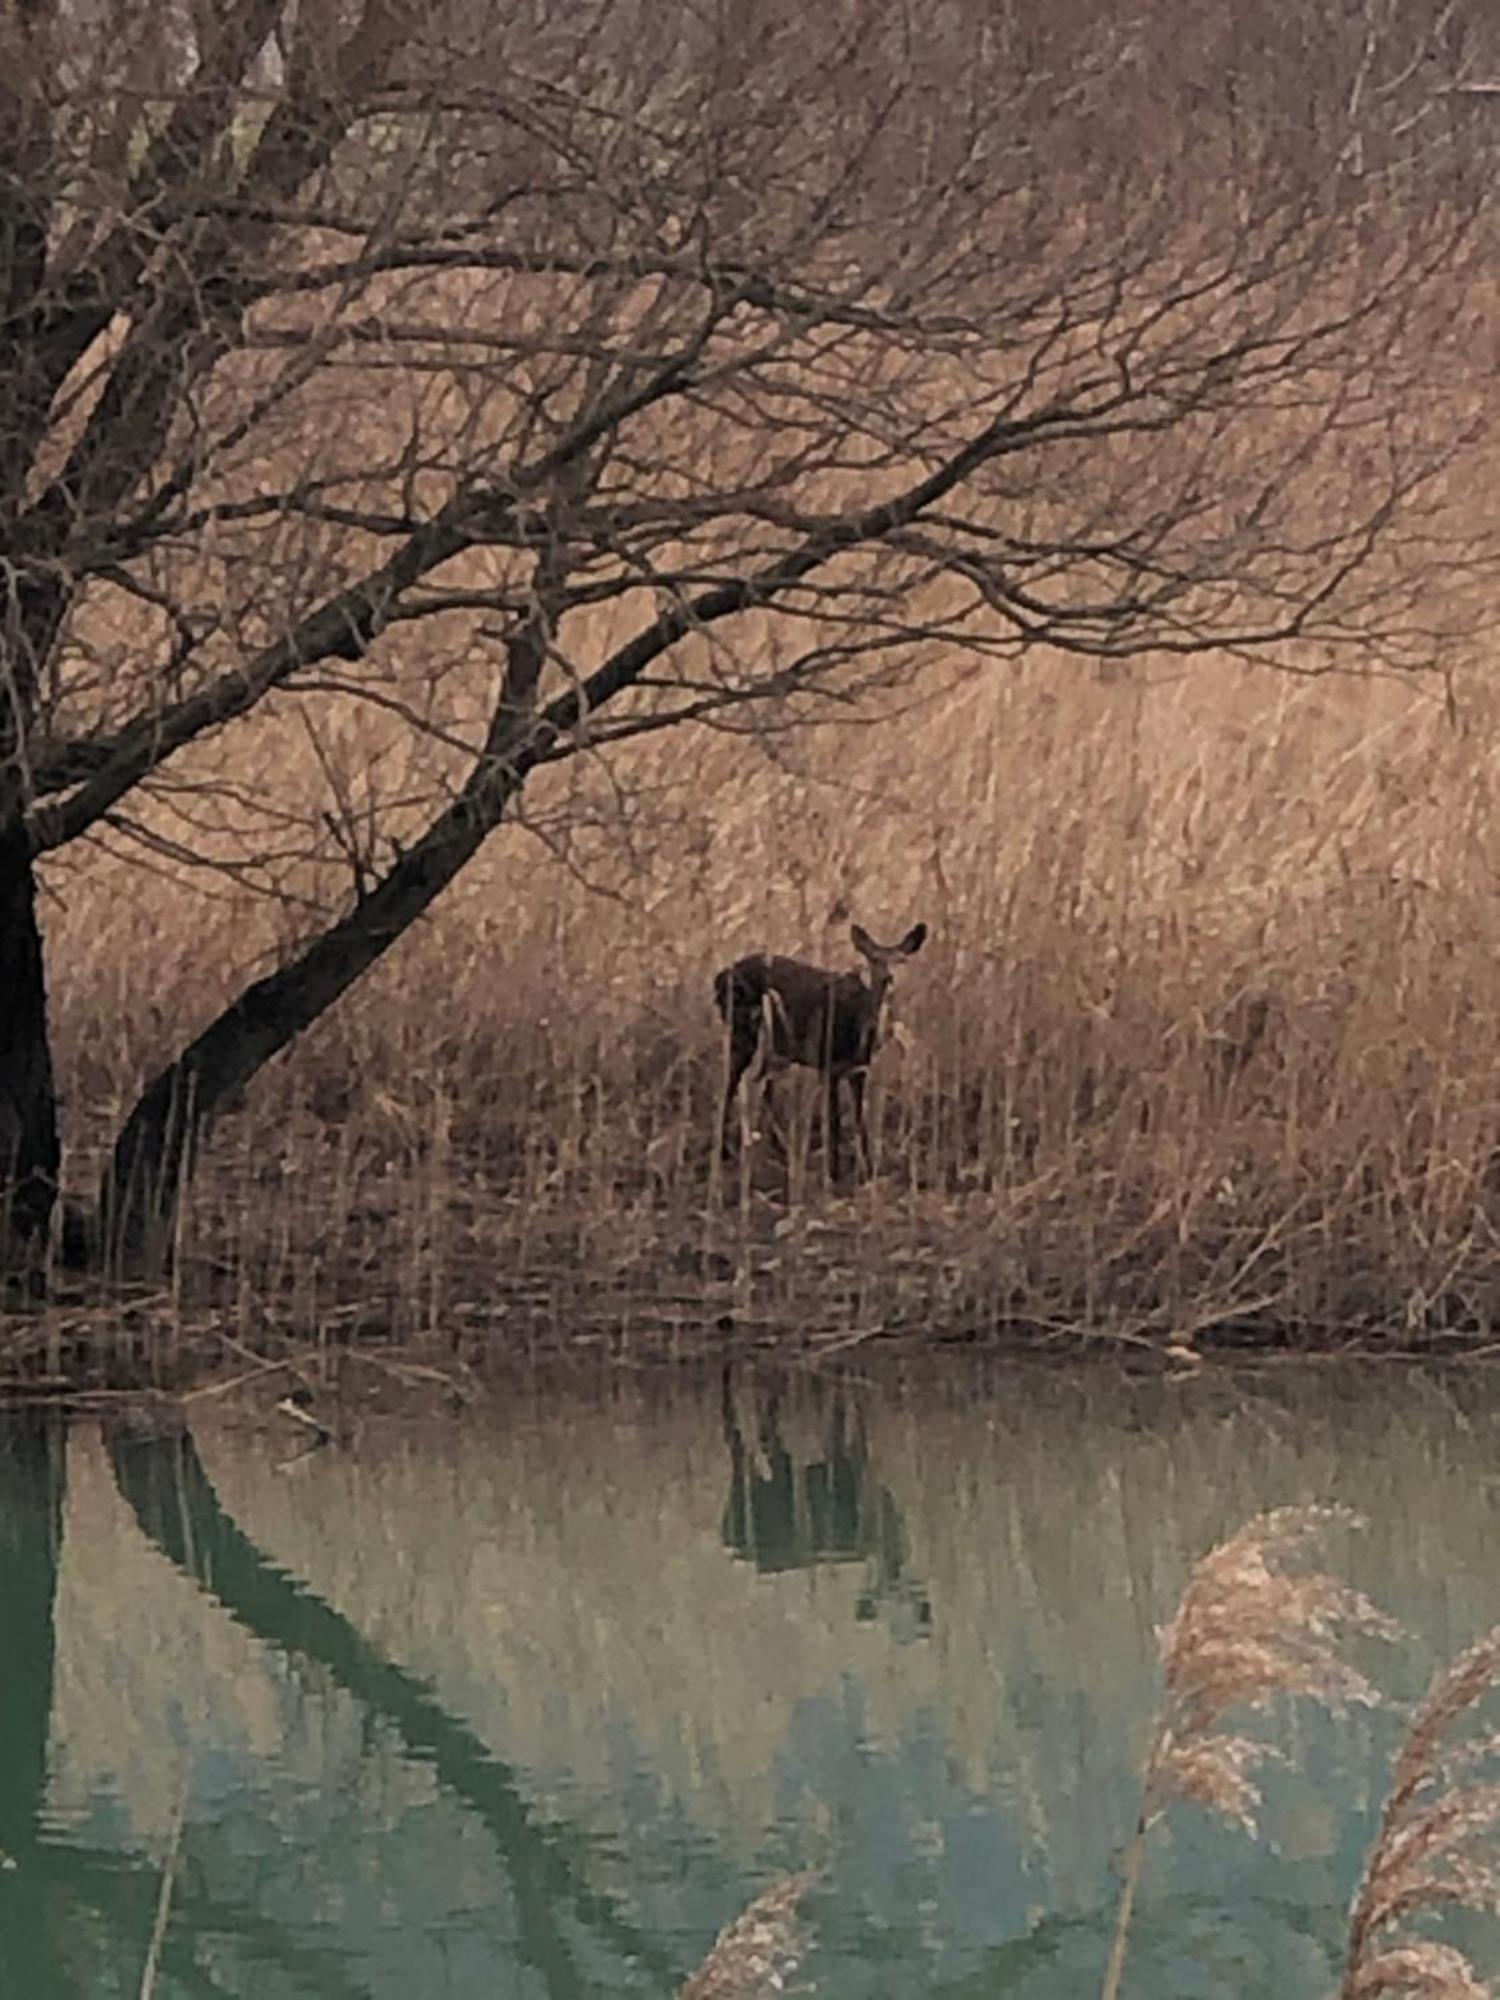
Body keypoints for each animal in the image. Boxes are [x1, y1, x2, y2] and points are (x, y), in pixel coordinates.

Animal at [712, 924, 928, 1184]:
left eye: (902, 959)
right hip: (744, 1033)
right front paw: (833, 1173)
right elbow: (834, 1121)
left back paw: (778, 1148)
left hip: (776, 1048)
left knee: (762, 1087)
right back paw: (726, 1152)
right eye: (873, 960)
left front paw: (867, 1171)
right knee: (731, 1085)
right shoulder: (829, 1065)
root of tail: (723, 975)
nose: (890, 979)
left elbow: (859, 1119)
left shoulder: (858, 1069)